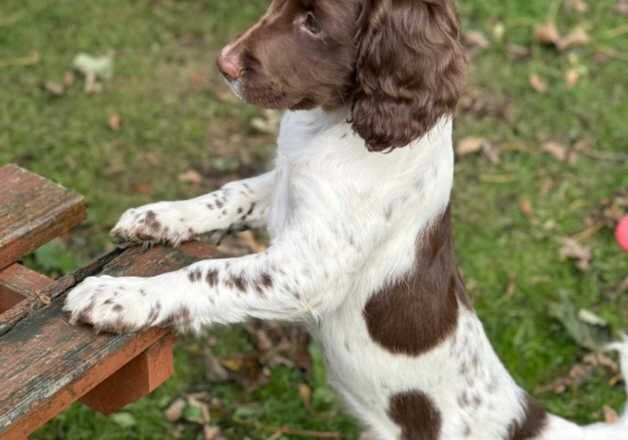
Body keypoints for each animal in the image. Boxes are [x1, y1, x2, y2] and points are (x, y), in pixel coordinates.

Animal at [63, 1, 628, 438]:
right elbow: (229, 194)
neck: (334, 125)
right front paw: (158, 217)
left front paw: (118, 296)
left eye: (314, 23)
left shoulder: (305, 270)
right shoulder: (281, 191)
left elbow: (206, 274)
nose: (224, 64)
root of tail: (528, 418)